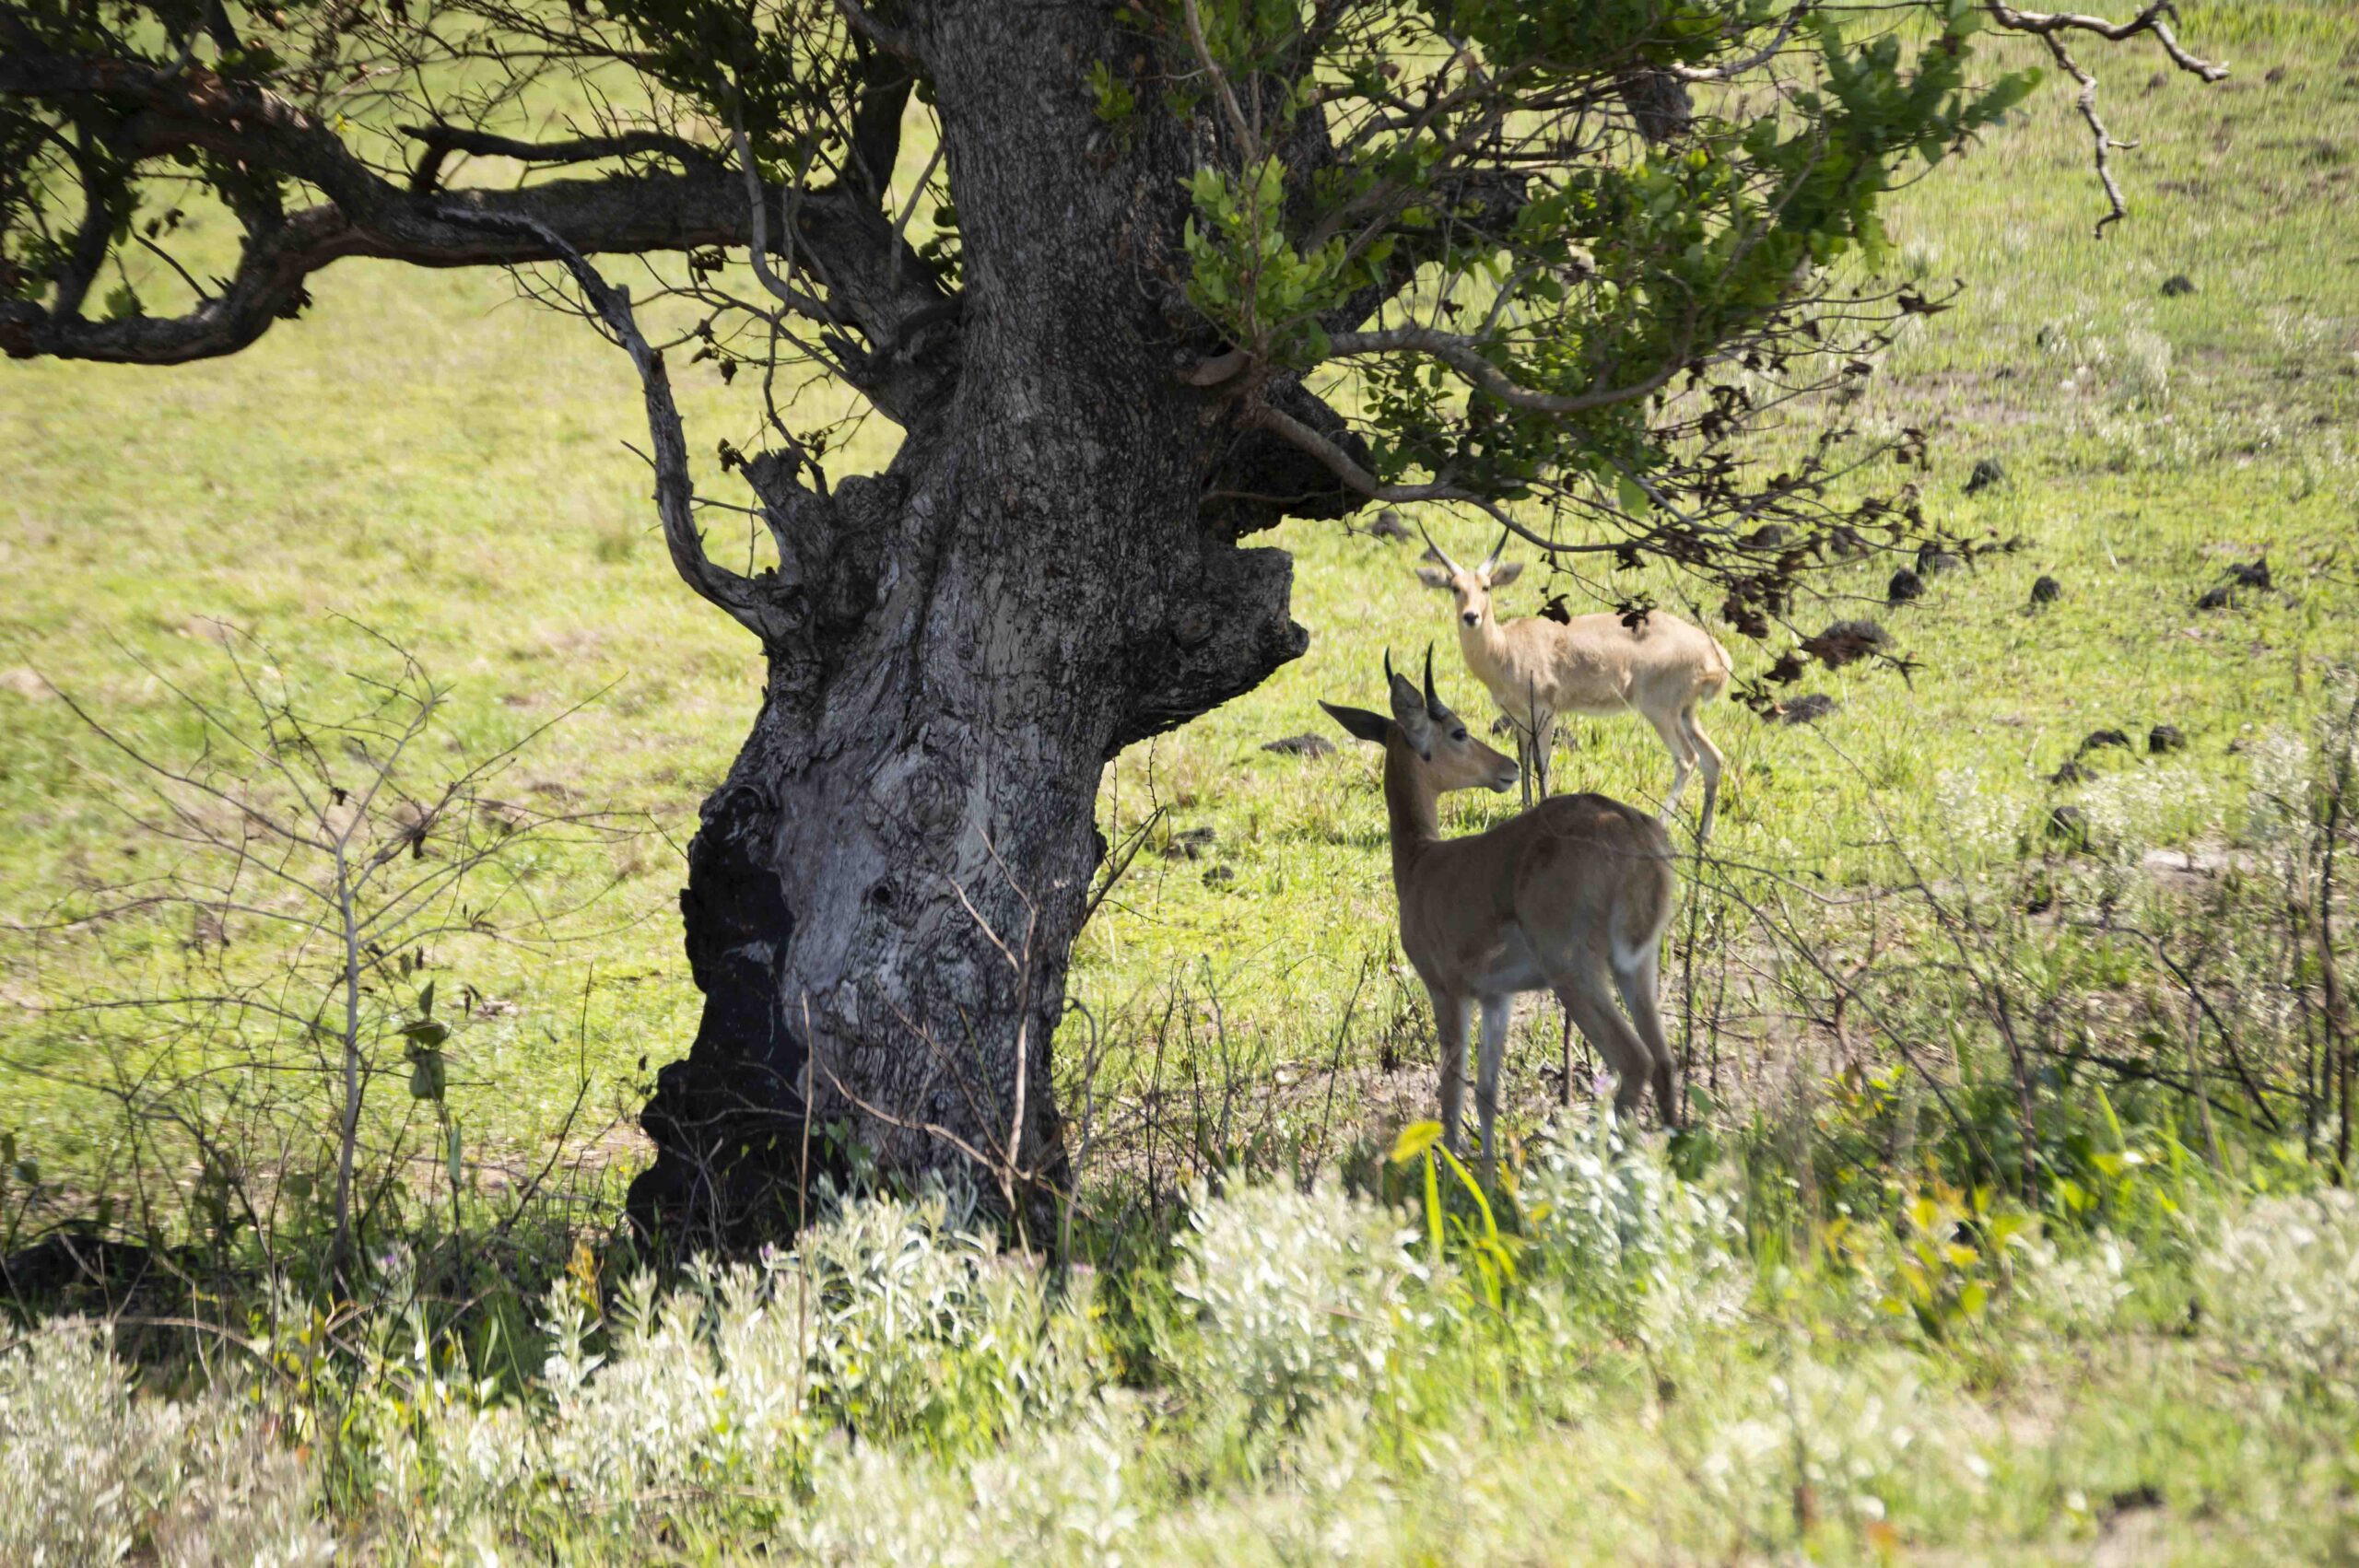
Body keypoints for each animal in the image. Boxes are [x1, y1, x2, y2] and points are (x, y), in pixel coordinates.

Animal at [1320, 646, 1688, 1174]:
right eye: (1458, 731)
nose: (1507, 767)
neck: (1422, 863)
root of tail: (1635, 828)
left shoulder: (1447, 992)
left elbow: (1450, 1089)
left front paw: (1452, 1172)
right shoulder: (1498, 998)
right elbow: (1488, 1092)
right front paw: (1488, 1177)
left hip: (1575, 975)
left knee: (1634, 1061)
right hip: (1636, 968)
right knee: (1664, 1061)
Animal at [1415, 523, 1736, 844]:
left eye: (1486, 586)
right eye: (1455, 587)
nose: (1471, 616)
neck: (1505, 647)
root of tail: (1715, 653)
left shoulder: (1545, 712)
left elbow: (1542, 762)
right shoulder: (1518, 718)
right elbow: (1524, 760)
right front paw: (1525, 809)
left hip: (1660, 711)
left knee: (1687, 759)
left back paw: (1662, 825)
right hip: (1686, 713)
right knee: (1714, 758)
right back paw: (1703, 836)